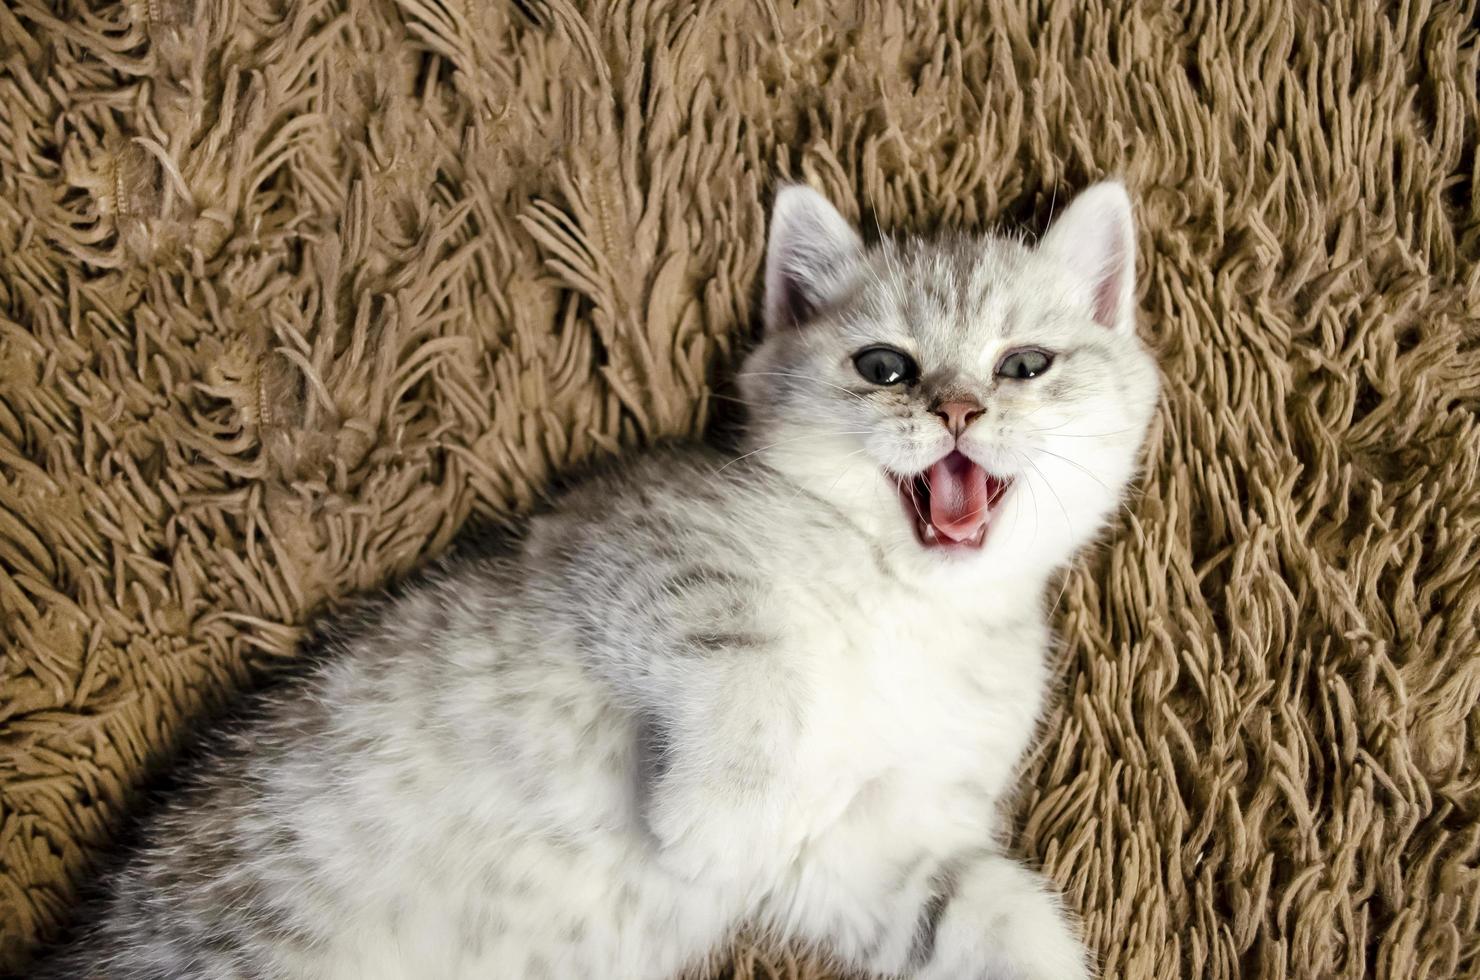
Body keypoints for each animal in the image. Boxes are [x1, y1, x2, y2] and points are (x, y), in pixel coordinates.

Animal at [40, 184, 1160, 980]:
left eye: (1025, 363)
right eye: (883, 365)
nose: (960, 409)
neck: (918, 600)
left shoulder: (861, 845)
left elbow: (980, 908)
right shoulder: (624, 541)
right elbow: (747, 654)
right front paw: (714, 814)